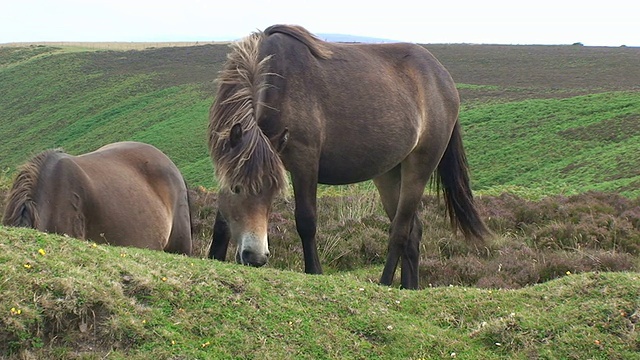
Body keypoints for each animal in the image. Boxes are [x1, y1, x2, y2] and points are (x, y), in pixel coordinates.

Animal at [208, 24, 488, 290]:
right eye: (235, 188)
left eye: (273, 194)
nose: (255, 257)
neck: (278, 80)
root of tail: (443, 78)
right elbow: (221, 221)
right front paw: (214, 257)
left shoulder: (304, 161)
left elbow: (306, 220)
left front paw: (314, 271)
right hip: (389, 173)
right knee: (413, 231)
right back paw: (409, 288)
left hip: (419, 167)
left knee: (400, 231)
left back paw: (385, 283)